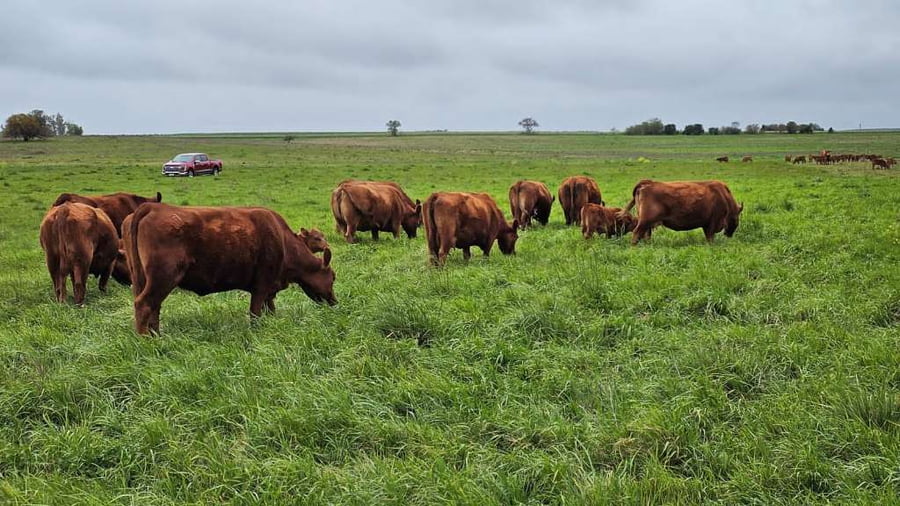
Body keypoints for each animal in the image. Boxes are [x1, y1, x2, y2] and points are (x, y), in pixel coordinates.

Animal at [124, 203, 336, 335]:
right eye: (333, 277)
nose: (335, 302)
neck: (283, 241)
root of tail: (152, 207)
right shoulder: (261, 286)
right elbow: (255, 314)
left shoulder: (269, 290)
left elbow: (270, 309)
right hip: (163, 277)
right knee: (144, 304)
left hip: (142, 279)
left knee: (154, 307)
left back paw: (157, 336)